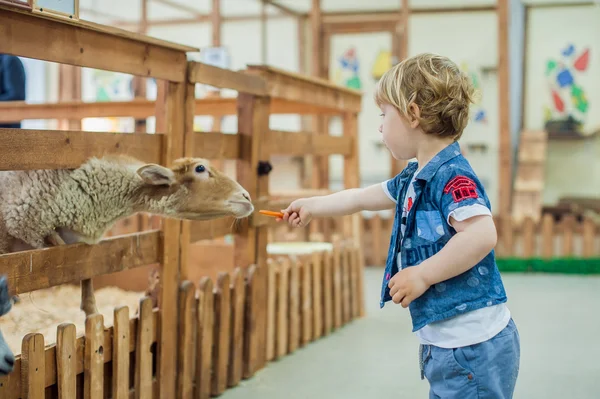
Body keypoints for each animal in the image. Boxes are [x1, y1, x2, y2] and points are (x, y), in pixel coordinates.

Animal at [0, 155, 253, 318]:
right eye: (200, 169)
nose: (247, 197)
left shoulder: (79, 242)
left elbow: (85, 271)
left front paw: (91, 312)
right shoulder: (27, 226)